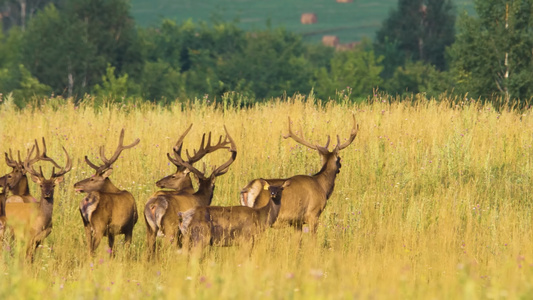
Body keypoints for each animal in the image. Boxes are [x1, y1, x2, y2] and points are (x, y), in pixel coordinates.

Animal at [143, 126, 235, 258]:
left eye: (173, 176)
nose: (158, 182)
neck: (199, 197)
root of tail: (154, 204)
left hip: (150, 229)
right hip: (170, 228)